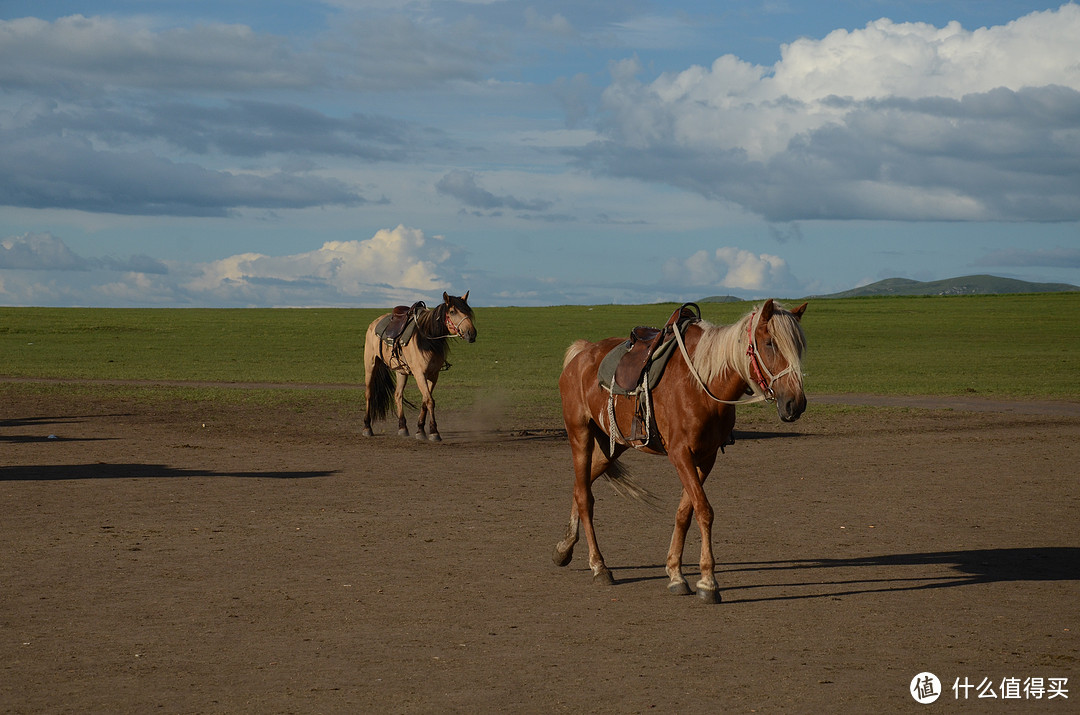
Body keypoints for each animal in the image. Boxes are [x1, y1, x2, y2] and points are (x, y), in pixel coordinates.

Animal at [362, 291, 477, 442]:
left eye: (468, 311)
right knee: (369, 394)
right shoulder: (419, 374)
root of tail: (374, 323)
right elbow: (430, 401)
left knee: (398, 395)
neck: (427, 340)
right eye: (452, 311)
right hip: (371, 365)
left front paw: (420, 430)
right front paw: (434, 432)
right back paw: (367, 427)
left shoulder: (433, 375)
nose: (471, 334)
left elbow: (424, 401)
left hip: (401, 371)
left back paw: (402, 428)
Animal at [552, 300, 807, 600]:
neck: (703, 383)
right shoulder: (680, 453)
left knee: (580, 485)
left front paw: (675, 572)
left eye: (799, 346)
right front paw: (708, 581)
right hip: (579, 433)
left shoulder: (705, 457)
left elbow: (685, 511)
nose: (795, 403)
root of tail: (582, 352)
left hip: (612, 446)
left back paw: (564, 548)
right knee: (585, 497)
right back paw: (599, 566)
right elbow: (704, 510)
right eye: (770, 343)